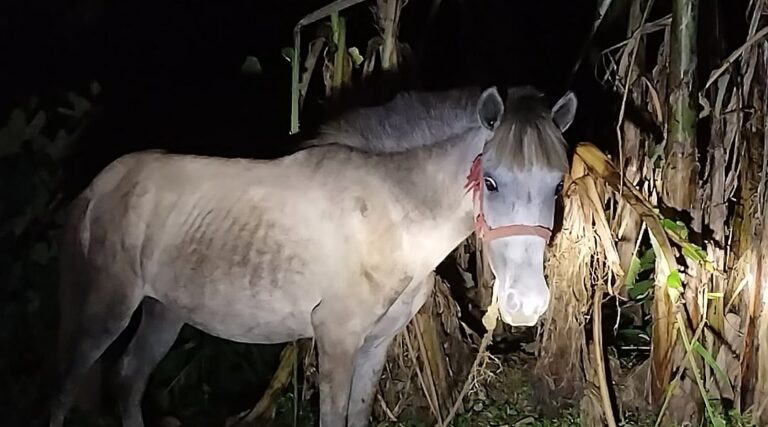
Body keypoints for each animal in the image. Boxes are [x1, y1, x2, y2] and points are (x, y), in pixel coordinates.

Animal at [48, 84, 576, 427]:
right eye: (491, 182)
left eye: (557, 185)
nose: (527, 305)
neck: (391, 214)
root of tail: (98, 185)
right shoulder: (336, 340)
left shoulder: (376, 343)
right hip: (107, 309)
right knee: (65, 388)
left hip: (164, 312)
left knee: (128, 380)